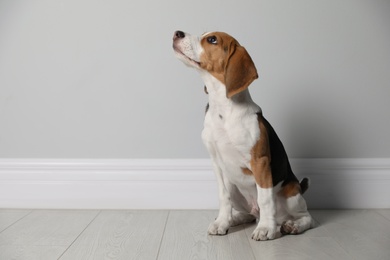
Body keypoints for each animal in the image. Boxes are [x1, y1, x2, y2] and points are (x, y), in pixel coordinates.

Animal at [172, 31, 312, 242]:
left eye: (212, 39)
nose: (177, 33)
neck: (223, 107)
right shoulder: (217, 164)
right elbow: (223, 197)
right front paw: (222, 223)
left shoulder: (260, 162)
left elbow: (265, 199)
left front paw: (266, 229)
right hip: (236, 190)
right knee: (248, 213)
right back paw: (234, 219)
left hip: (292, 194)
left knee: (306, 217)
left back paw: (291, 225)